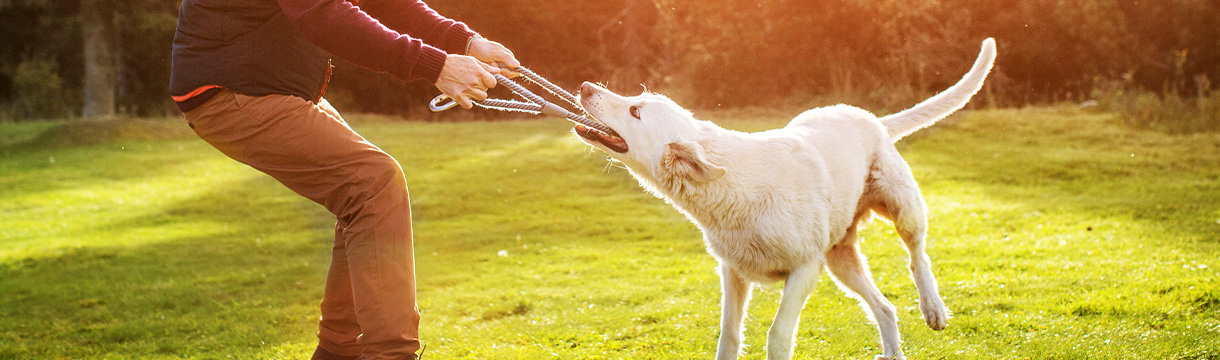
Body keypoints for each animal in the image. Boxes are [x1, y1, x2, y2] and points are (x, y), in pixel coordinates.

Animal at [575, 39, 995, 360]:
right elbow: (729, 336)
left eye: (635, 110)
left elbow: (777, 335)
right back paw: (893, 351)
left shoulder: (805, 270)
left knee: (917, 255)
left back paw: (933, 308)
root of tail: (871, 118)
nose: (584, 87)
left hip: (901, 207)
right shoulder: (733, 273)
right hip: (841, 260)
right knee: (885, 307)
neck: (732, 187)